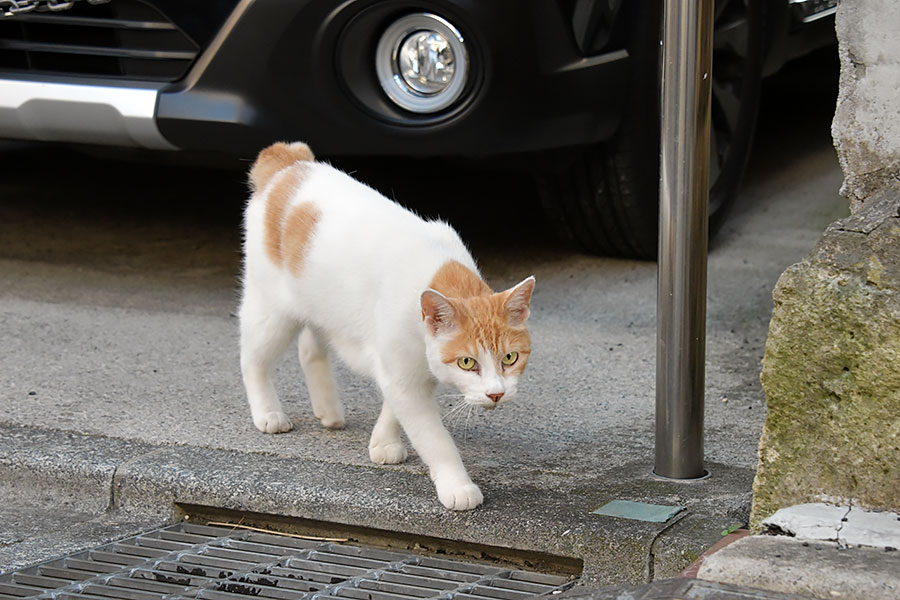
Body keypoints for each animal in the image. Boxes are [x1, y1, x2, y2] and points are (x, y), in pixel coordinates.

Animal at [239, 142, 536, 510]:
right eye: (467, 362)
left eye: (510, 358)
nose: (496, 393)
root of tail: (290, 162)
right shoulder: (402, 372)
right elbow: (434, 438)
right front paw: (457, 484)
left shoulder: (406, 367)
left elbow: (393, 404)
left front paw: (383, 441)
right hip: (272, 311)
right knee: (252, 359)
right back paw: (267, 412)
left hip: (321, 306)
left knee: (310, 348)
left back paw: (328, 409)